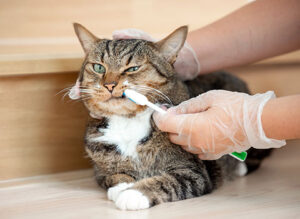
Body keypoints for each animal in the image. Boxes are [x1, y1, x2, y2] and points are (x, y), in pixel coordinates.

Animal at [71, 23, 272, 210]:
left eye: (132, 68)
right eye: (98, 67)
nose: (109, 85)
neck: (128, 120)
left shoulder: (194, 173)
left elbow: (167, 182)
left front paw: (134, 193)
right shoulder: (100, 169)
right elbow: (113, 176)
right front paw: (123, 186)